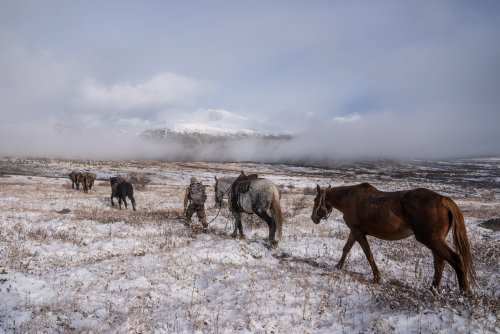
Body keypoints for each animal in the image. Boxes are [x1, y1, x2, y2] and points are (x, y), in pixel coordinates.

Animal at [310, 183, 478, 294]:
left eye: (315, 200)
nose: (313, 218)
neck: (349, 199)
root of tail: (443, 199)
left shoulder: (358, 232)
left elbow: (368, 253)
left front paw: (377, 277)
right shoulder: (355, 231)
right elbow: (346, 249)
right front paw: (339, 266)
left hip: (431, 240)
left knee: (455, 259)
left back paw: (464, 293)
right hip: (434, 241)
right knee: (439, 263)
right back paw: (432, 289)